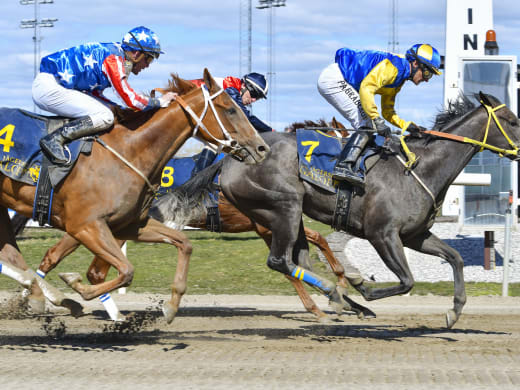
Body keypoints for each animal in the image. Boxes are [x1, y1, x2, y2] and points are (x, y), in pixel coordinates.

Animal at [0, 68, 268, 322]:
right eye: (230, 109)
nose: (262, 148)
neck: (129, 152)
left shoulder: (130, 224)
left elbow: (184, 244)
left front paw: (171, 306)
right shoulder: (85, 225)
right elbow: (125, 271)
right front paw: (74, 284)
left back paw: (40, 295)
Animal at [154, 93, 520, 328]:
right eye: (512, 120)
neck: (420, 168)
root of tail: (229, 161)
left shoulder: (414, 235)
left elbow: (454, 258)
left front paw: (454, 312)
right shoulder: (382, 234)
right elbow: (406, 280)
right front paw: (362, 286)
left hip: (285, 216)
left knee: (296, 261)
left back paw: (339, 300)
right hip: (282, 208)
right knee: (280, 261)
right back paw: (337, 297)